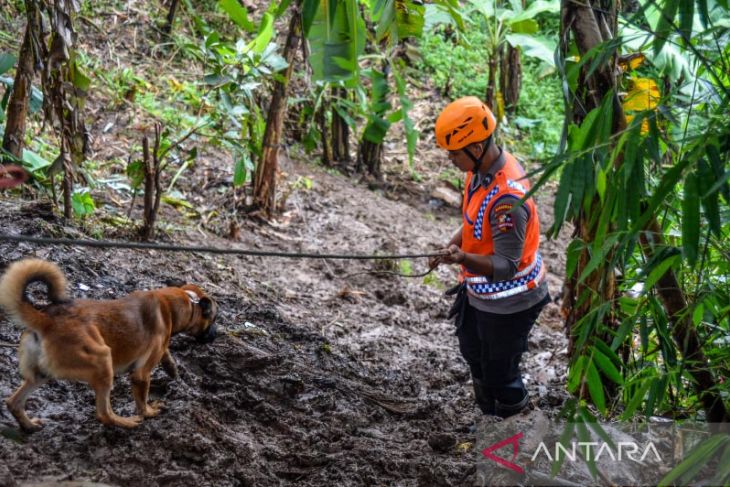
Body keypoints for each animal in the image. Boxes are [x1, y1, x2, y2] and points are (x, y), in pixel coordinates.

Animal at [0, 260, 216, 430]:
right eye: (214, 319)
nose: (216, 335)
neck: (175, 303)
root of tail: (45, 320)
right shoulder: (141, 374)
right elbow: (142, 401)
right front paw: (149, 412)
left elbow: (166, 353)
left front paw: (171, 367)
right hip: (103, 360)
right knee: (104, 414)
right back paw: (126, 422)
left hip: (41, 375)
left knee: (13, 402)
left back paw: (28, 425)